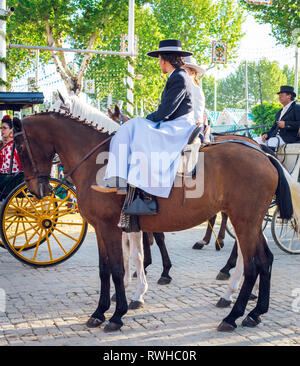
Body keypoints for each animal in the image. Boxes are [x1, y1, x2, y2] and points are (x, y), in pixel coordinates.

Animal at [12, 110, 298, 334]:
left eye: (21, 149)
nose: (37, 190)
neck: (98, 163)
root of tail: (263, 154)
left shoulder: (110, 227)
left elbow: (119, 267)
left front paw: (118, 314)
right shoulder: (103, 229)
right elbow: (106, 269)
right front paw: (100, 311)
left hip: (244, 222)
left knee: (252, 264)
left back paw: (233, 314)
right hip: (250, 222)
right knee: (264, 261)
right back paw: (254, 313)